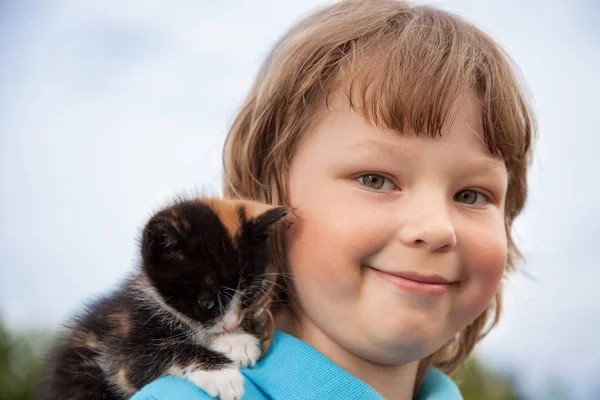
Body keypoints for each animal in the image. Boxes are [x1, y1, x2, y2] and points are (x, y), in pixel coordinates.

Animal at [37, 197, 288, 400]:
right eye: (207, 304)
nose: (231, 326)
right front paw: (223, 372)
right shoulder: (121, 351)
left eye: (247, 296)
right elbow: (168, 348)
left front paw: (234, 340)